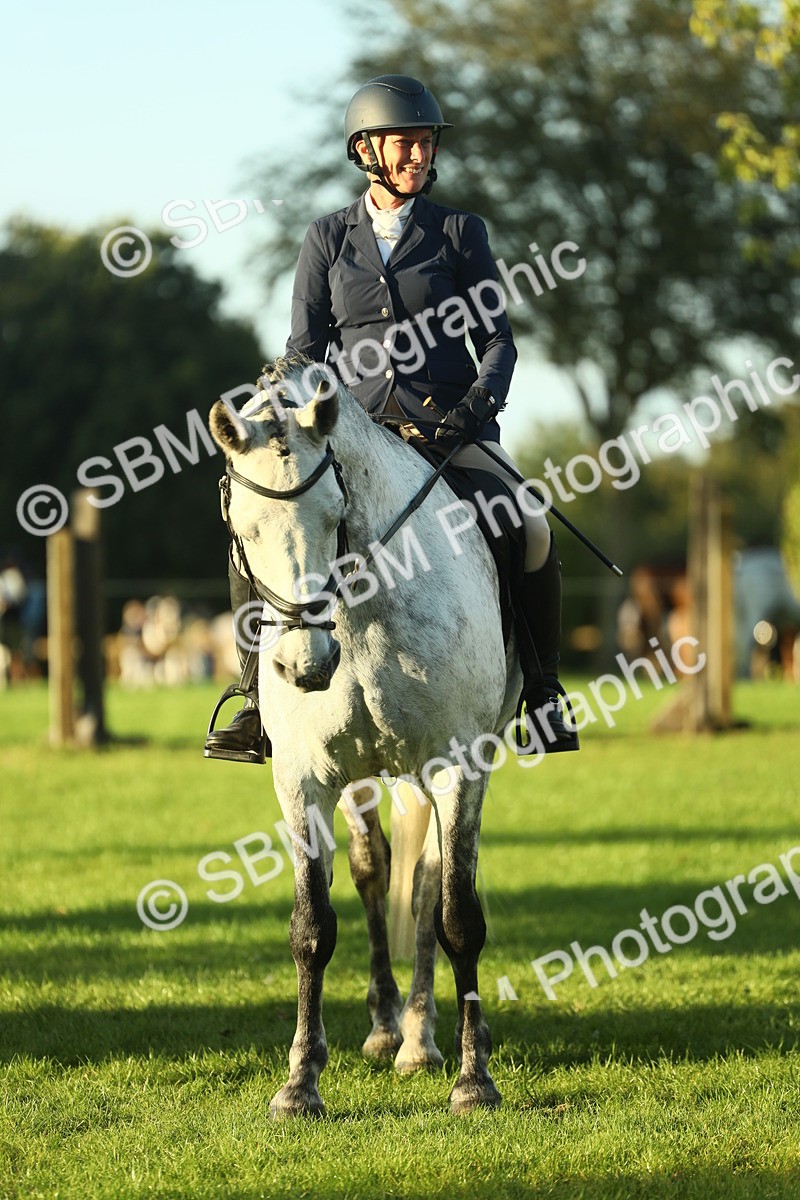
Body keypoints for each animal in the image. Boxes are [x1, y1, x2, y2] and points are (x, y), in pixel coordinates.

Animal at [208, 357, 524, 1117]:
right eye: (245, 531)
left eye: (335, 515)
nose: (305, 666)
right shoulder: (302, 780)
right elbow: (312, 928)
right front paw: (300, 1083)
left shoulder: (457, 765)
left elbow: (458, 914)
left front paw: (474, 1080)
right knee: (376, 870)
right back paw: (388, 1027)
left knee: (433, 881)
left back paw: (424, 1039)